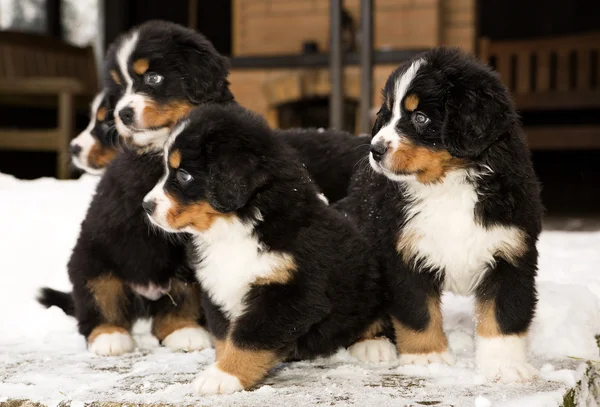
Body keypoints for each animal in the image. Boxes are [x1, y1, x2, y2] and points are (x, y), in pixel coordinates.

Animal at [143, 105, 384, 396]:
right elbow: (225, 336)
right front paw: (221, 366)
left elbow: (249, 339)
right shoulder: (216, 288)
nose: (146, 206)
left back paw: (374, 344)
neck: (235, 229)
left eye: (184, 175)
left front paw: (221, 376)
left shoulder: (290, 293)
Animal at [336, 47, 548, 382]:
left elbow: (503, 313)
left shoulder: (511, 251)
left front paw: (504, 366)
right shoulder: (401, 253)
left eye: (421, 117)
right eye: (387, 114)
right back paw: (373, 344)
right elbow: (418, 311)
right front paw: (427, 358)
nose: (375, 150)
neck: (447, 185)